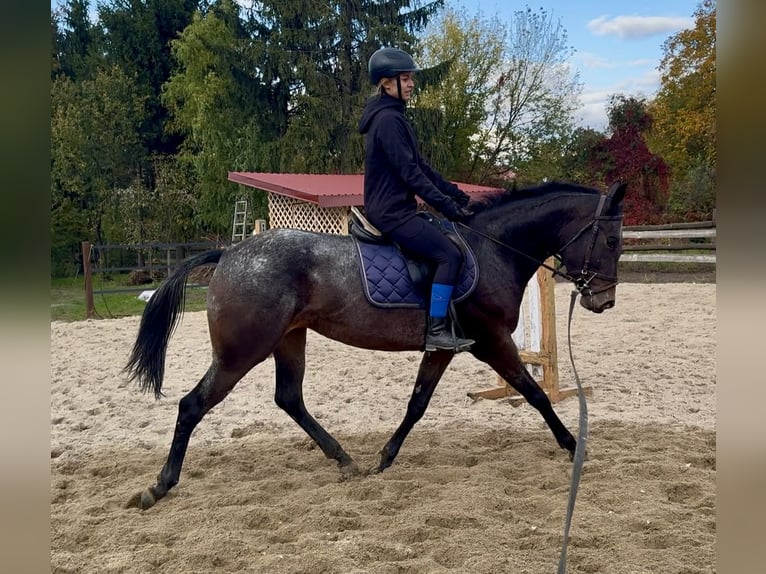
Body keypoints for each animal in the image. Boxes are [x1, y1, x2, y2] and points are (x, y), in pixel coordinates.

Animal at [125, 180, 626, 510]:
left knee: (289, 398)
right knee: (193, 405)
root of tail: (228, 253)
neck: (492, 250)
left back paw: (345, 460)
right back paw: (160, 486)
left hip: (289, 340)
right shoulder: (492, 342)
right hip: (240, 352)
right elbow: (535, 393)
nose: (604, 301)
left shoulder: (442, 348)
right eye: (613, 239)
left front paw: (385, 458)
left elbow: (417, 404)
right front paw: (572, 444)